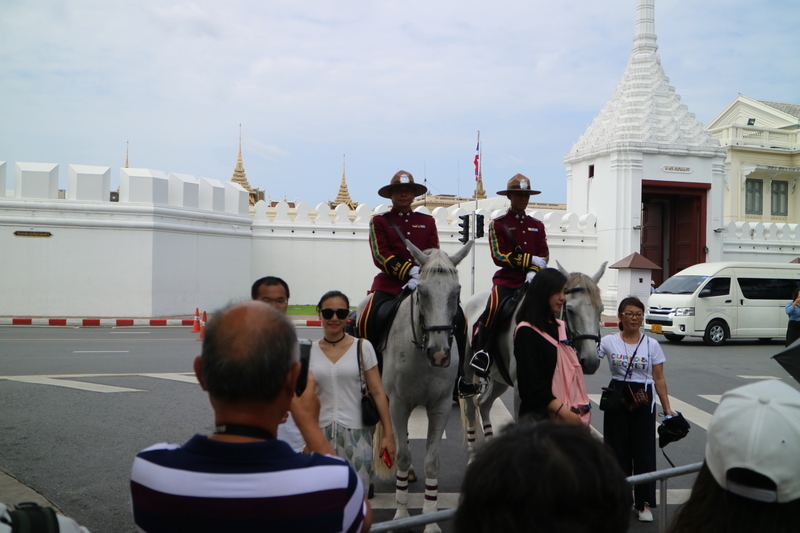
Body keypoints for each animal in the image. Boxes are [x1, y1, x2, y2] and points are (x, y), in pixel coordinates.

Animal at [360, 241, 472, 532]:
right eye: (421, 291)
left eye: (456, 292)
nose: (440, 354)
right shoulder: (398, 404)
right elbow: (401, 455)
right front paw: (401, 515)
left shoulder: (440, 406)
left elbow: (432, 461)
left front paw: (430, 519)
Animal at [456, 260, 608, 458]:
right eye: (569, 309)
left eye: (601, 309)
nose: (590, 362)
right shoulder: (522, 390)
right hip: (468, 372)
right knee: (470, 409)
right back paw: (473, 453)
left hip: (499, 379)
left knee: (484, 404)